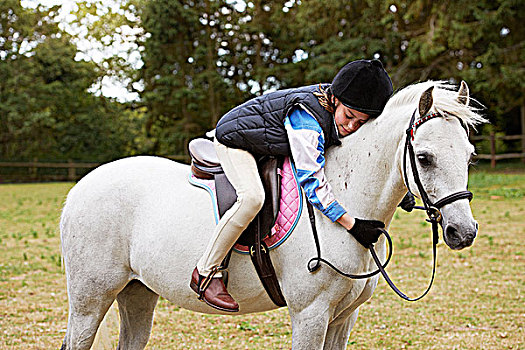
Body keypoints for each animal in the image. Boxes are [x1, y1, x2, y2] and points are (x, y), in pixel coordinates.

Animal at [60, 80, 484, 348]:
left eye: (469, 156)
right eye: (424, 158)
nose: (463, 232)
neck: (347, 205)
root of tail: (80, 187)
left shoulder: (343, 317)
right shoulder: (311, 315)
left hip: (137, 292)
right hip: (90, 301)